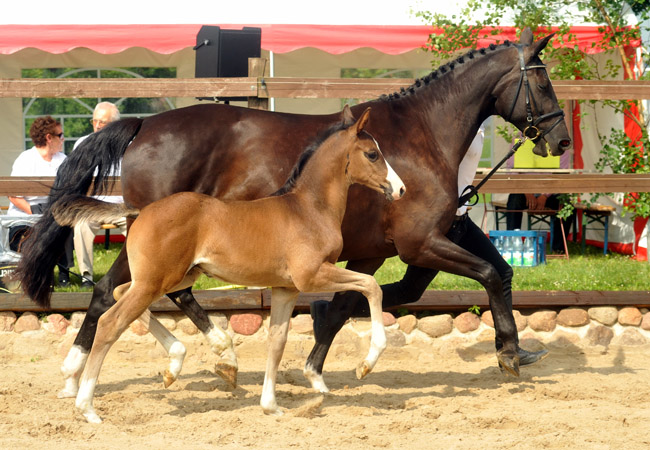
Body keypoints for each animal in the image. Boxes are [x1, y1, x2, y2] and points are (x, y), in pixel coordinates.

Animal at [53, 107, 402, 424]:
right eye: (372, 154)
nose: (400, 189)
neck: (308, 208)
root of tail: (141, 211)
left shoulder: (286, 288)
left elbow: (277, 342)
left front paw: (271, 406)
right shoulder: (312, 276)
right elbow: (371, 287)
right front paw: (367, 363)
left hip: (169, 278)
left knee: (120, 292)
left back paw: (174, 362)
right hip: (157, 281)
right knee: (110, 322)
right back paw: (87, 407)